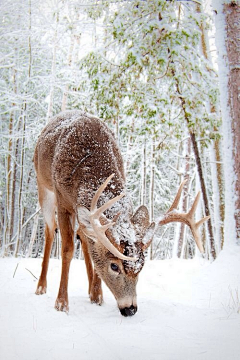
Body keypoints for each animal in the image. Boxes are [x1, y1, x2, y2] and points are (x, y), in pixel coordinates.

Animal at [34, 111, 210, 316]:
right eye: (114, 266)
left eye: (142, 266)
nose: (130, 308)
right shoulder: (63, 200)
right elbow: (67, 250)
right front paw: (61, 303)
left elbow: (93, 246)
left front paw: (97, 296)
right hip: (43, 187)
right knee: (49, 230)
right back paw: (41, 286)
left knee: (84, 237)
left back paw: (91, 290)